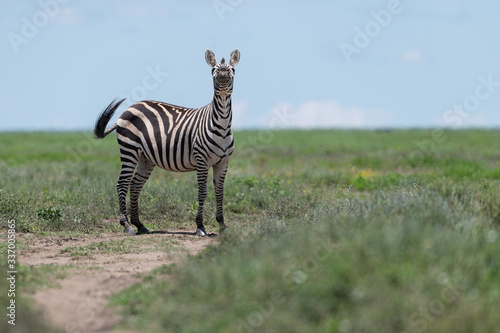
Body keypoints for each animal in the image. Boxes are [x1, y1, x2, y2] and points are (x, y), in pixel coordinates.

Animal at [94, 49, 241, 236]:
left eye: (232, 70)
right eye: (213, 70)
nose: (222, 76)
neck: (221, 126)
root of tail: (129, 107)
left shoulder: (223, 163)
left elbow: (220, 192)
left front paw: (222, 225)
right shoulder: (202, 161)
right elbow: (202, 192)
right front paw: (200, 226)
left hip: (145, 158)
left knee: (135, 185)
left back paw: (139, 224)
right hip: (129, 150)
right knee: (122, 184)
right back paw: (127, 225)